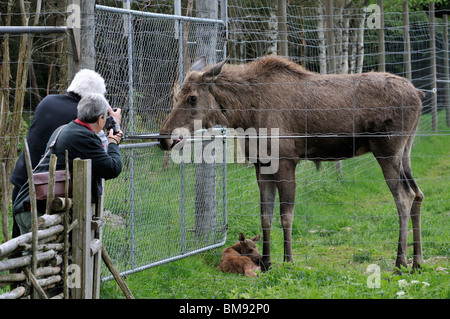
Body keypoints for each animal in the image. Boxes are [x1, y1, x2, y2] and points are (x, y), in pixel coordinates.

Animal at [161, 55, 426, 272]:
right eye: (175, 96)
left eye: (192, 97)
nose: (164, 137)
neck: (244, 115)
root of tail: (418, 95)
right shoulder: (261, 165)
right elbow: (265, 216)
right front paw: (266, 263)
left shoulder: (286, 161)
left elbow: (286, 216)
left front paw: (288, 261)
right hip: (405, 153)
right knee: (418, 194)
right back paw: (417, 261)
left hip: (387, 151)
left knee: (404, 197)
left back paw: (400, 261)